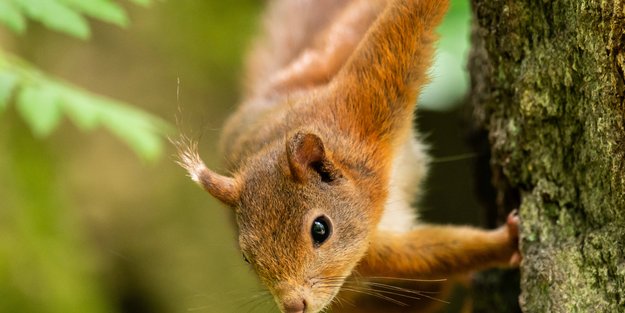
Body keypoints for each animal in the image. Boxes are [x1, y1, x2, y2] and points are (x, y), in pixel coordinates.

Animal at [174, 0, 516, 312]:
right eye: (245, 255)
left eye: (320, 229)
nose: (294, 306)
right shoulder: (368, 250)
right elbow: (424, 255)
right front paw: (507, 242)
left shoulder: (361, 107)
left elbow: (402, 29)